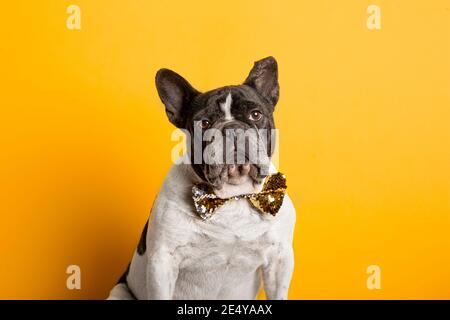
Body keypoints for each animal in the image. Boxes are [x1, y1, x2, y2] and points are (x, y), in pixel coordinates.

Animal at [107, 56, 298, 298]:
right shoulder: (163, 261)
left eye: (255, 114)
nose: (231, 128)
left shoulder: (280, 259)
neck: (234, 196)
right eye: (204, 123)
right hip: (120, 291)